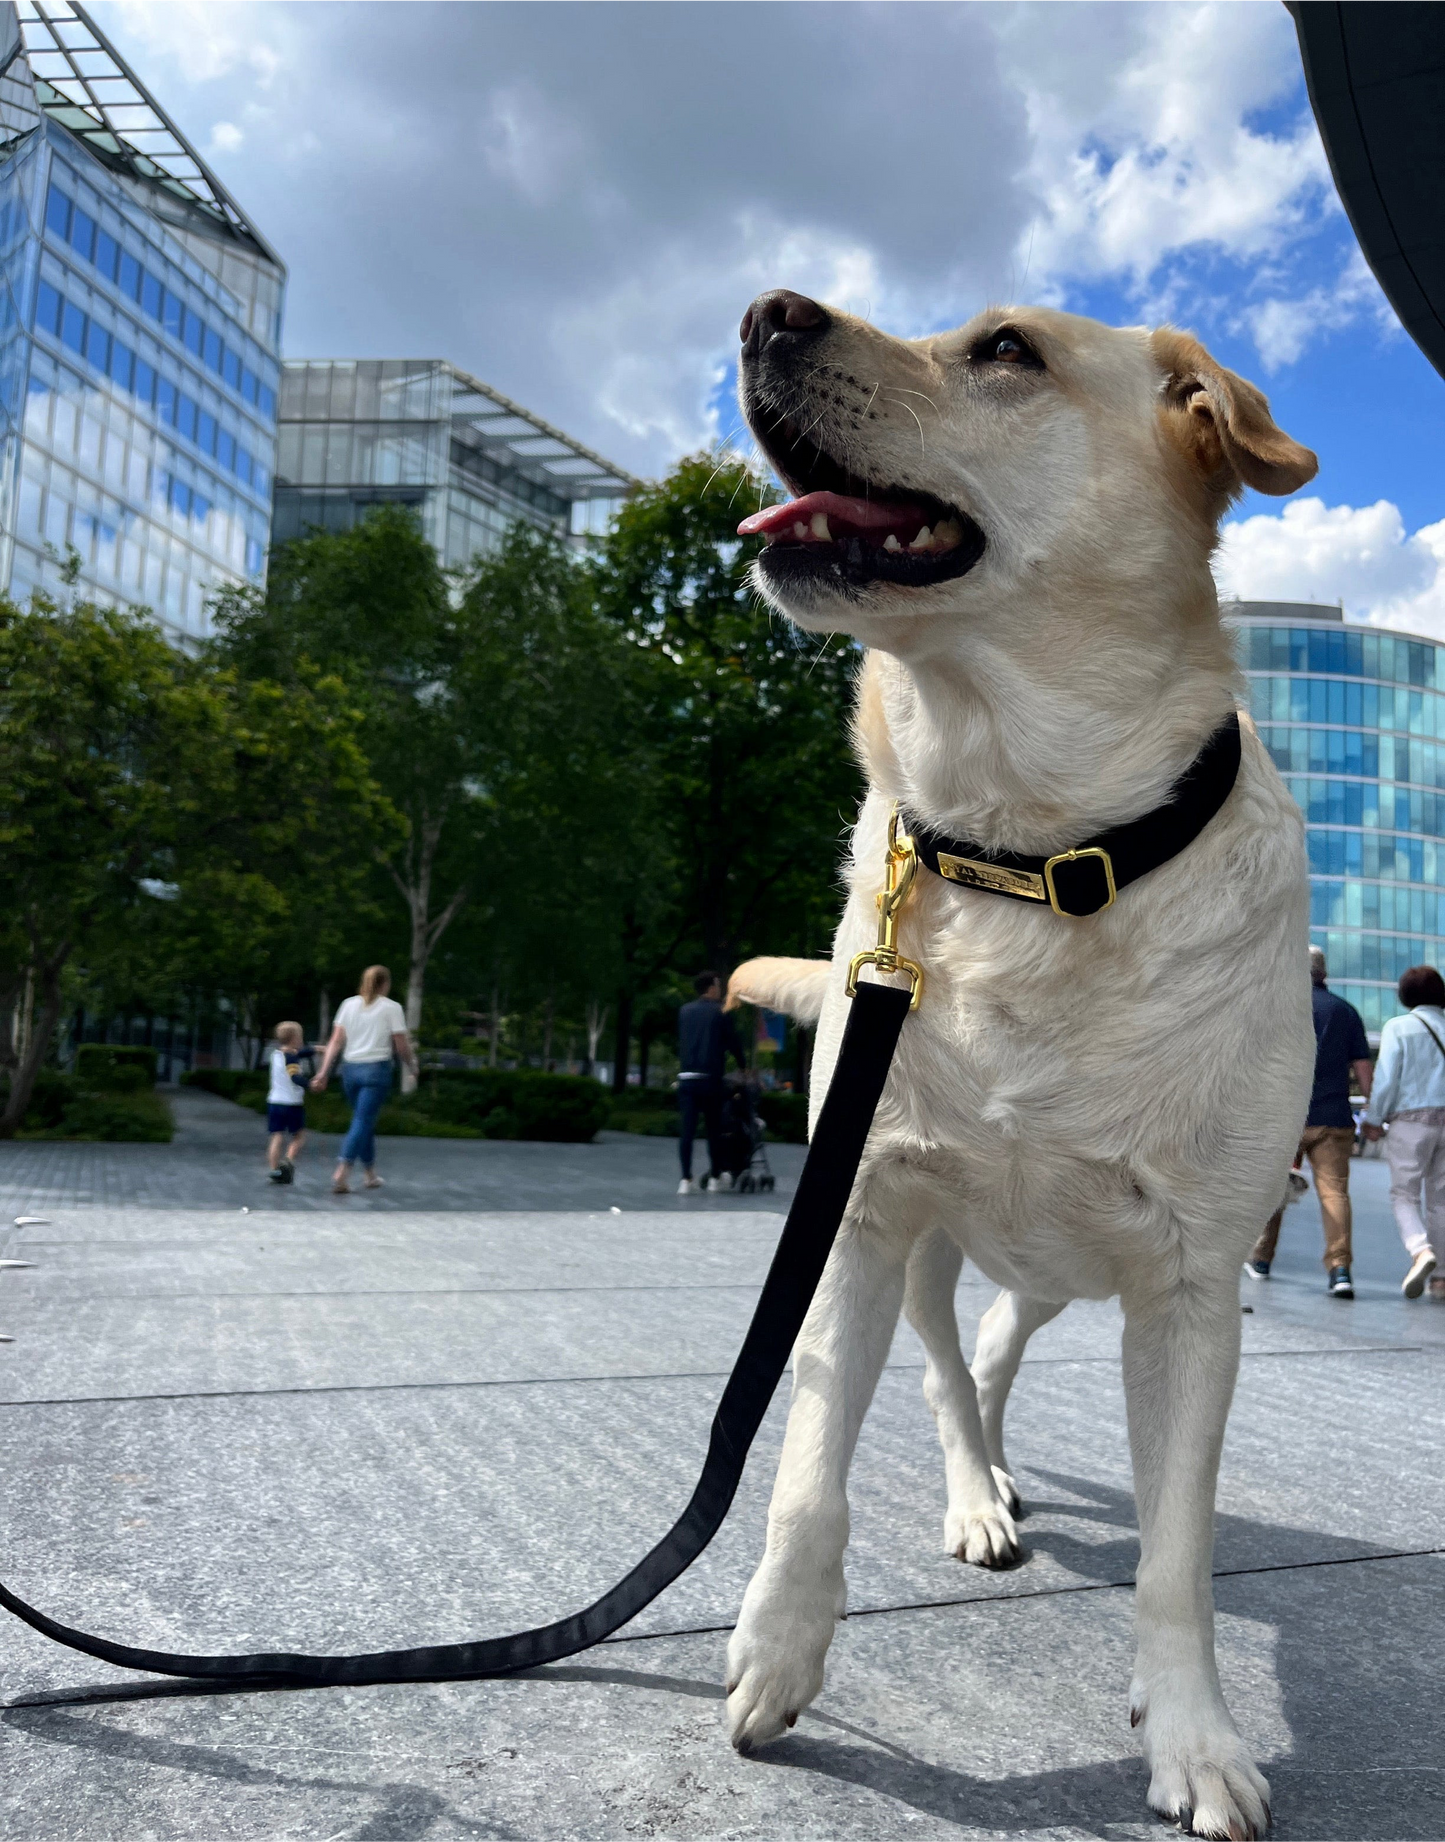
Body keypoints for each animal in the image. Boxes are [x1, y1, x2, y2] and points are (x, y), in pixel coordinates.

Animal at [729, 291, 1312, 1842]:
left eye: (1003, 349)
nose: (764, 310)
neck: (1031, 853)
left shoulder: (1191, 1285)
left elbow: (1176, 1551)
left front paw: (1193, 1735)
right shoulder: (857, 1215)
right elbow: (806, 1471)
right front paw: (779, 1646)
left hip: (1061, 1265)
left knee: (995, 1350)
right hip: (933, 1244)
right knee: (950, 1368)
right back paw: (975, 1491)